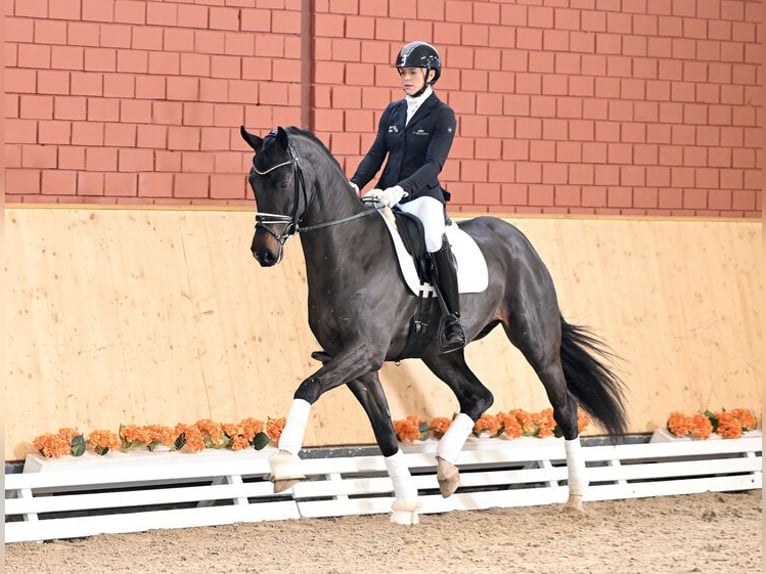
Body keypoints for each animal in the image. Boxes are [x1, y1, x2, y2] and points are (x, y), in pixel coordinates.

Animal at [240, 125, 627, 525]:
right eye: (253, 180)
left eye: (284, 181)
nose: (263, 252)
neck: (350, 252)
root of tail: (519, 242)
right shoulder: (356, 363)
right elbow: (384, 430)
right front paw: (407, 503)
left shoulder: (365, 352)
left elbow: (308, 387)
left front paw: (285, 465)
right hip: (439, 352)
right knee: (478, 395)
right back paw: (446, 468)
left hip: (534, 339)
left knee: (563, 405)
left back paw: (576, 496)